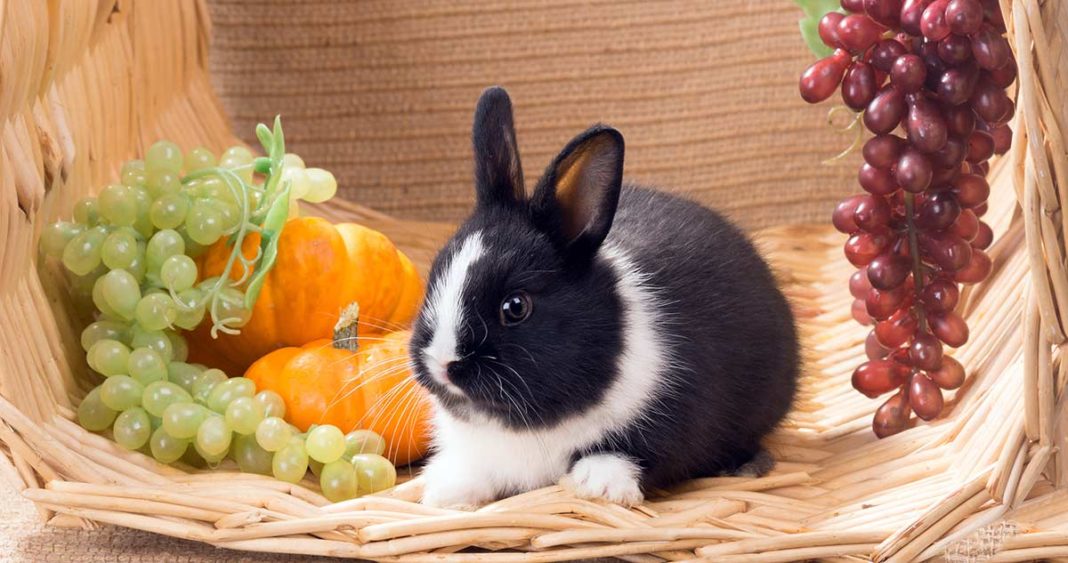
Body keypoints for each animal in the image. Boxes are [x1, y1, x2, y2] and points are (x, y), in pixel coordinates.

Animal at [409, 86, 799, 509]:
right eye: (435, 277)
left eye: (515, 307)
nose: (443, 363)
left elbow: (636, 451)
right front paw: (447, 493)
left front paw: (596, 485)